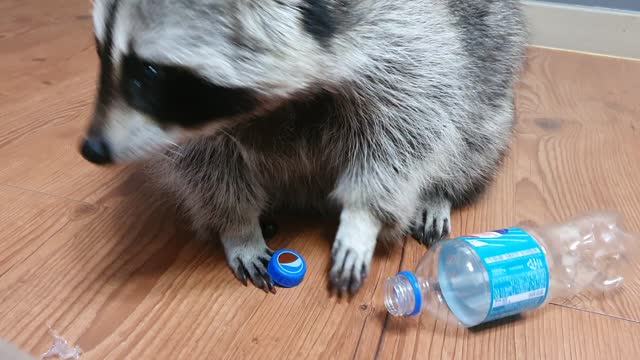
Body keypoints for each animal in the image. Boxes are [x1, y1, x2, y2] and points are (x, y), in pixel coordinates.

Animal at [84, 0, 524, 294]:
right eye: (100, 53)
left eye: (149, 72)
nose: (92, 149)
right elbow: (206, 161)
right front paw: (237, 225)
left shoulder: (408, 38)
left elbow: (411, 124)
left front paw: (362, 217)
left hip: (494, 81)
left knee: (474, 133)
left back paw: (439, 192)